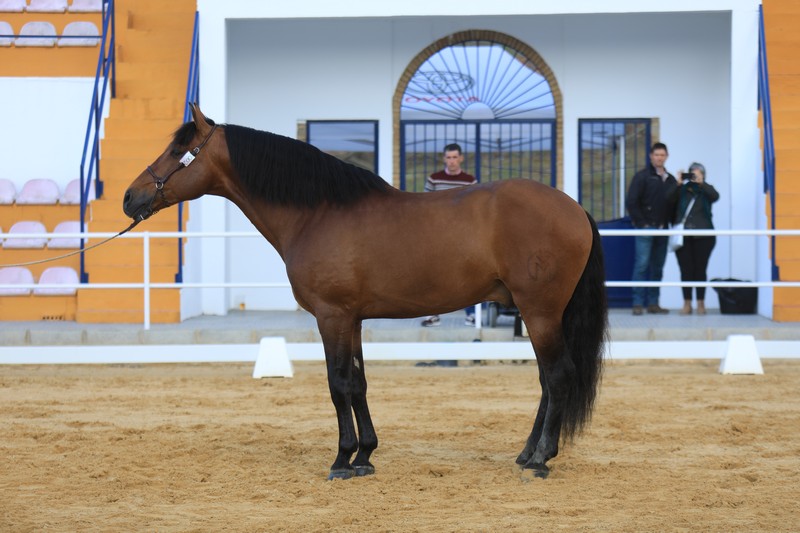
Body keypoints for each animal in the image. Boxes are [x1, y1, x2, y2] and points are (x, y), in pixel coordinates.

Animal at [122, 103, 608, 478]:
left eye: (179, 150)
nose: (130, 197)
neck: (318, 213)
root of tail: (574, 207)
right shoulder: (352, 319)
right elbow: (358, 383)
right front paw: (365, 456)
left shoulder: (331, 316)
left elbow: (337, 384)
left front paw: (341, 460)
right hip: (536, 314)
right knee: (546, 381)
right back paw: (526, 453)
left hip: (540, 311)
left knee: (558, 376)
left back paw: (541, 460)